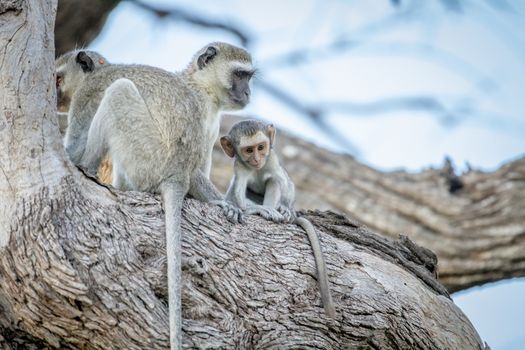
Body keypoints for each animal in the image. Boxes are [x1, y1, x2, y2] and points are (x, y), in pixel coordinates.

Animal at [57, 44, 254, 350]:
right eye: (241, 76)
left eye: (58, 79)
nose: (248, 92)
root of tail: (176, 173)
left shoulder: (88, 93)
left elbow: (74, 149)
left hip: (146, 155)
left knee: (119, 91)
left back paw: (89, 170)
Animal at [220, 119, 336, 318]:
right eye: (249, 150)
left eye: (261, 147)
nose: (257, 159)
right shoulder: (239, 167)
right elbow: (240, 200)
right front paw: (256, 210)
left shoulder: (272, 159)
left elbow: (284, 182)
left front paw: (285, 209)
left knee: (274, 181)